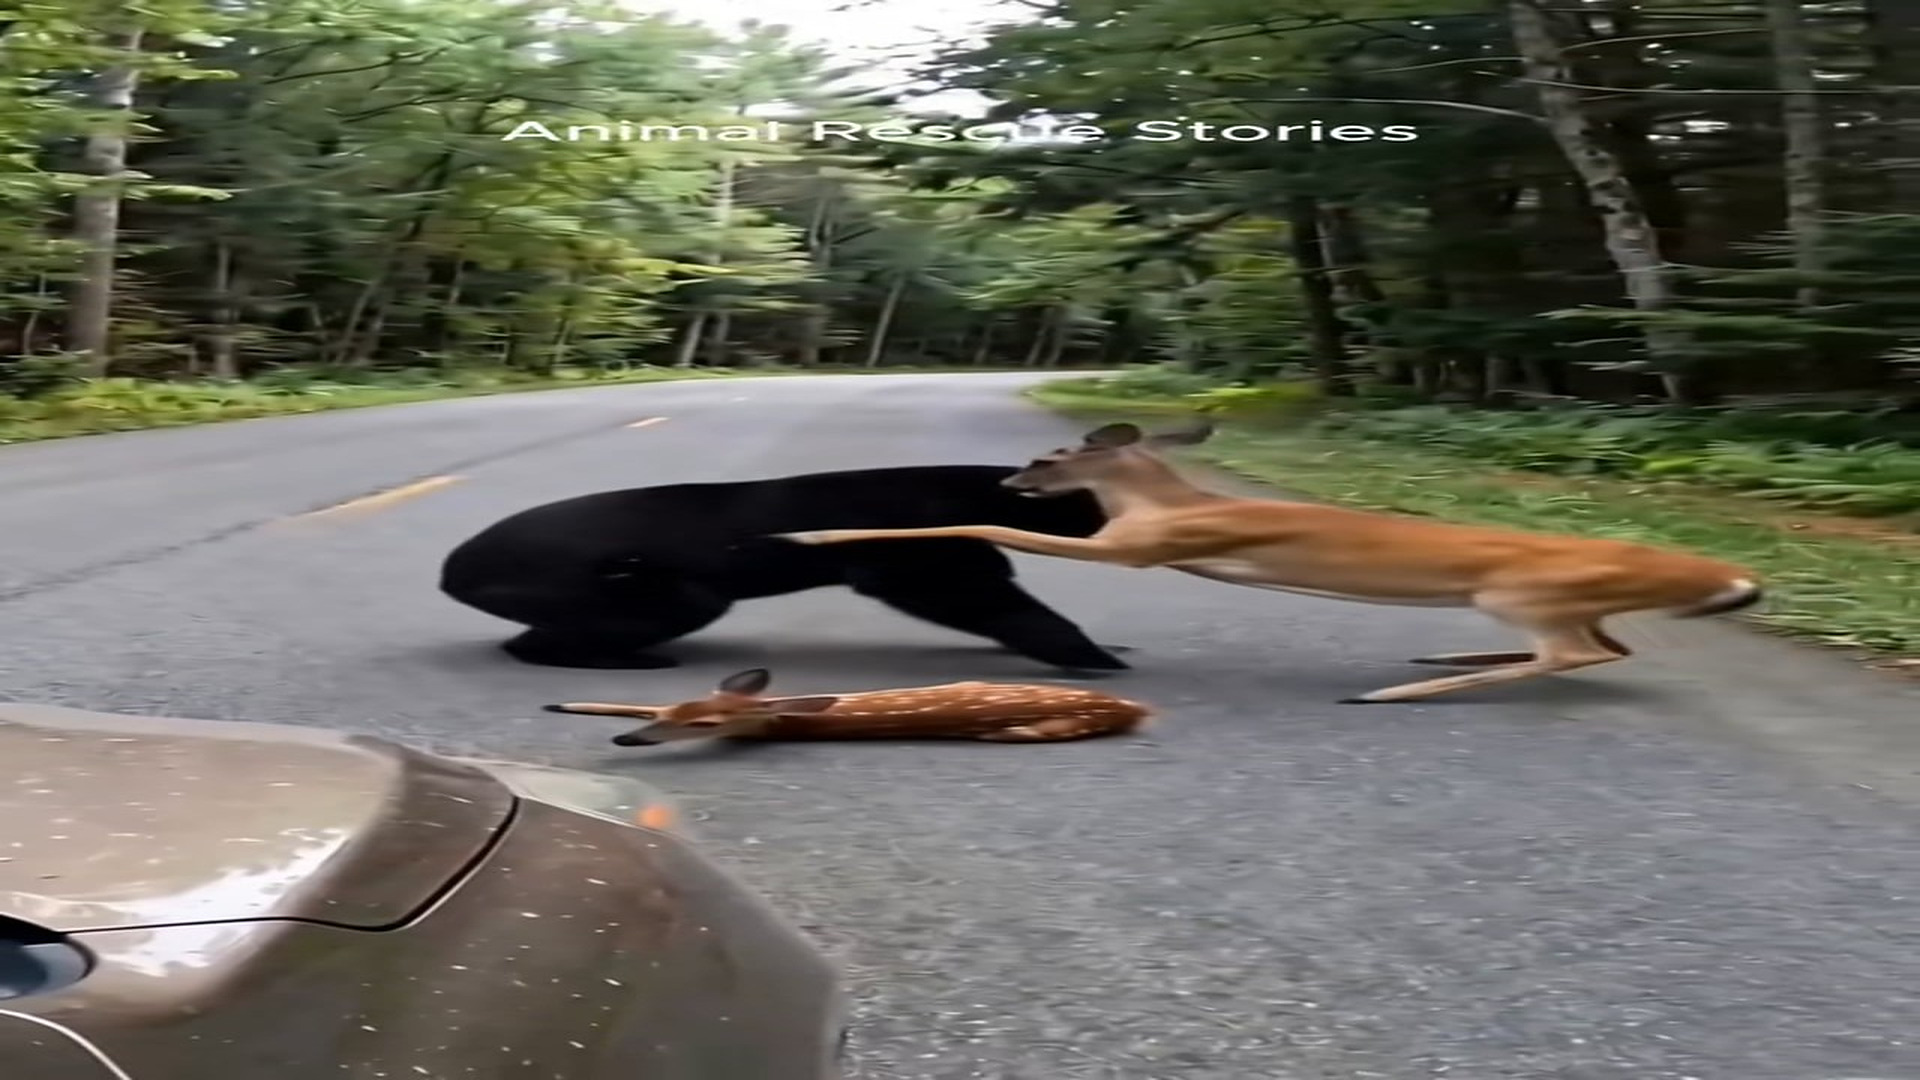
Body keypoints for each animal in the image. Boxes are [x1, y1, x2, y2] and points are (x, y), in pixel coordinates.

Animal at [437, 464, 1126, 673]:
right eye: (1091, 504)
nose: (1109, 525)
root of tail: (451, 568)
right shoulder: (916, 550)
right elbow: (973, 592)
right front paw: (1090, 654)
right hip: (609, 581)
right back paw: (630, 660)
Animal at [773, 420, 1765, 705]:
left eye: (1049, 457)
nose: (1016, 477)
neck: (1168, 508)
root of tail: (1729, 576)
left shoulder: (1143, 552)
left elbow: (983, 529)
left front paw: (813, 537)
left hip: (1526, 589)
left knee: (1578, 653)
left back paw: (1396, 691)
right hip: (1559, 597)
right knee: (1605, 649)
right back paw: (1439, 657)